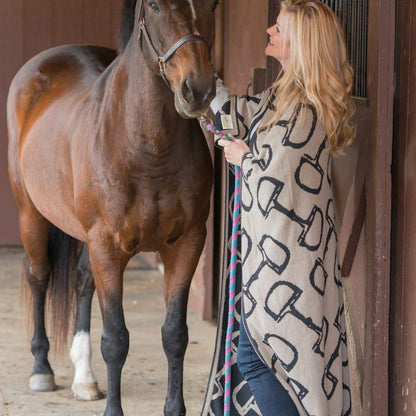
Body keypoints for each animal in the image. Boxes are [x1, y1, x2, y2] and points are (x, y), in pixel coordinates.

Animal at [6, 1, 218, 415]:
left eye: (212, 5)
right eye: (155, 6)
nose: (198, 90)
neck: (148, 149)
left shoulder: (187, 244)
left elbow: (175, 334)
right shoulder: (108, 247)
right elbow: (116, 339)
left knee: (83, 282)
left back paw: (84, 378)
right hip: (30, 215)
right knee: (39, 277)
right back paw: (42, 370)